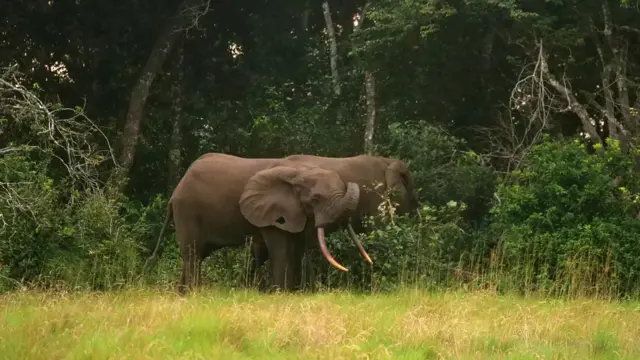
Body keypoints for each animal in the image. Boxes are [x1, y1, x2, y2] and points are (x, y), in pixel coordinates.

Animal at [140, 153, 370, 294]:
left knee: (196, 254)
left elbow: (295, 249)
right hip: (187, 211)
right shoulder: (271, 214)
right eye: (316, 199)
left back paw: (182, 295)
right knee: (193, 253)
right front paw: (280, 294)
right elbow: (281, 250)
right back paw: (193, 294)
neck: (299, 172)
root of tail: (176, 191)